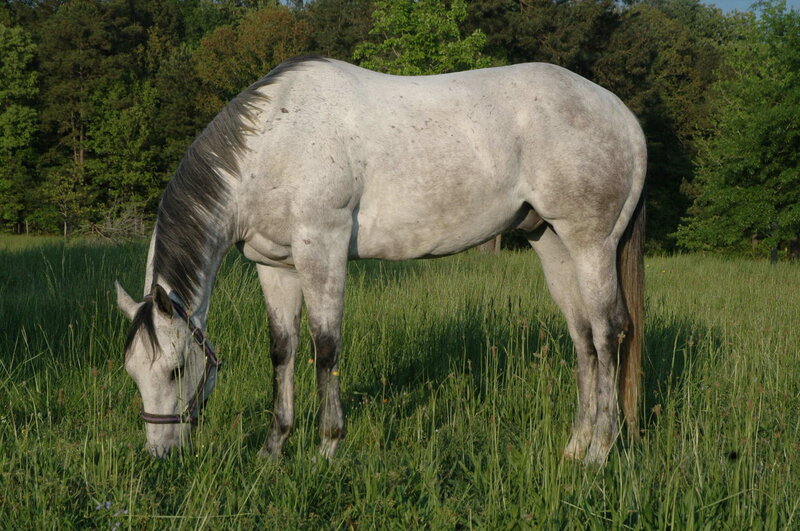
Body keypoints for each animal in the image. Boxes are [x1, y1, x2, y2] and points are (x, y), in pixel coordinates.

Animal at [116, 56, 645, 466]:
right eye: (132, 373)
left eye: (176, 369)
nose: (159, 452)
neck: (273, 143)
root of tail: (623, 116)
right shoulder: (275, 265)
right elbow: (283, 351)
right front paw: (273, 449)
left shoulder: (322, 247)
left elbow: (325, 346)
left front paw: (327, 448)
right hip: (551, 242)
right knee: (583, 338)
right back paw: (575, 447)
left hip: (590, 245)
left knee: (608, 333)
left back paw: (599, 452)